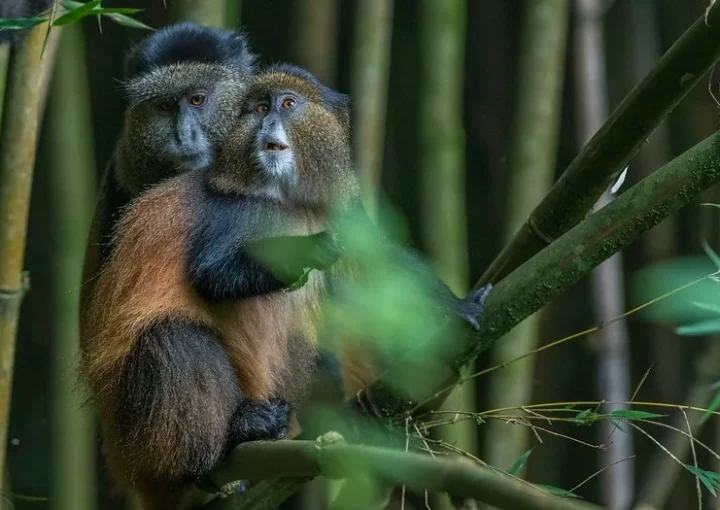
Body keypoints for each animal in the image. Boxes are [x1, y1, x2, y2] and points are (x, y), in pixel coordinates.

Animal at [79, 64, 490, 509]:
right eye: (260, 108)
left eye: (288, 104)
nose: (267, 122)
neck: (288, 201)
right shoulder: (234, 212)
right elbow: (213, 275)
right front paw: (311, 249)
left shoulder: (341, 208)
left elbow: (378, 262)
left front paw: (459, 307)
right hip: (138, 436)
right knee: (173, 337)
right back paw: (225, 445)